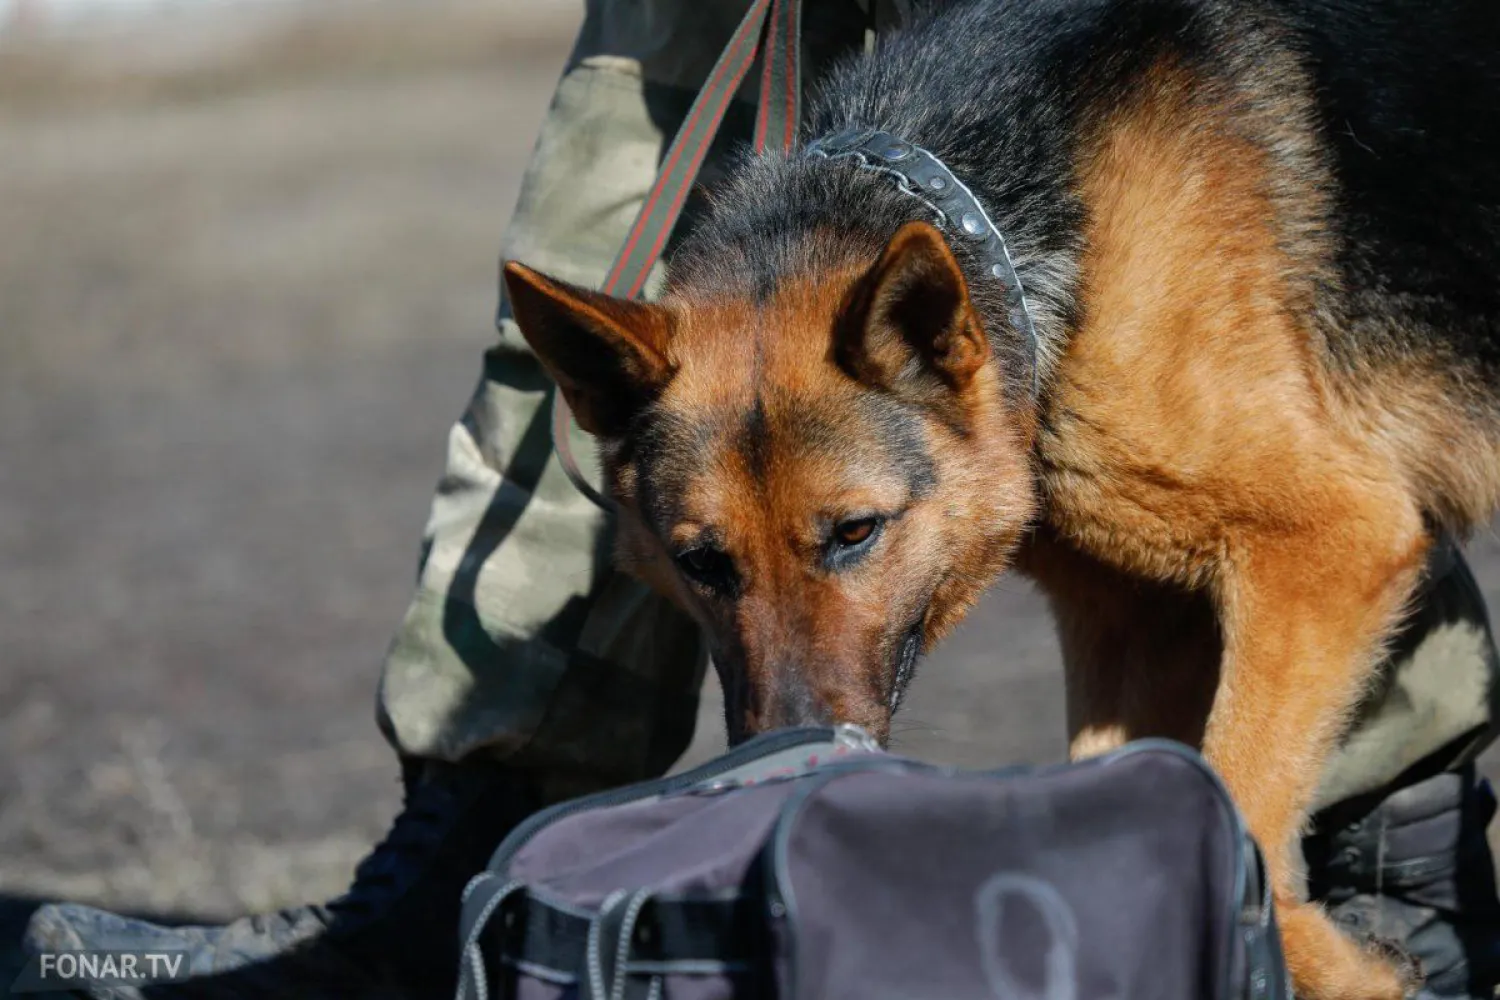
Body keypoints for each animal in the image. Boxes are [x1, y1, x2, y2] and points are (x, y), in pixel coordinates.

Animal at [507, 0, 1500, 995]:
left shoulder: (1333, 542)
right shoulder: (1138, 623)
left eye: (855, 532)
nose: (785, 755)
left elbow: (1240, 804)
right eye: (701, 563)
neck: (1012, 234)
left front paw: (1351, 967)